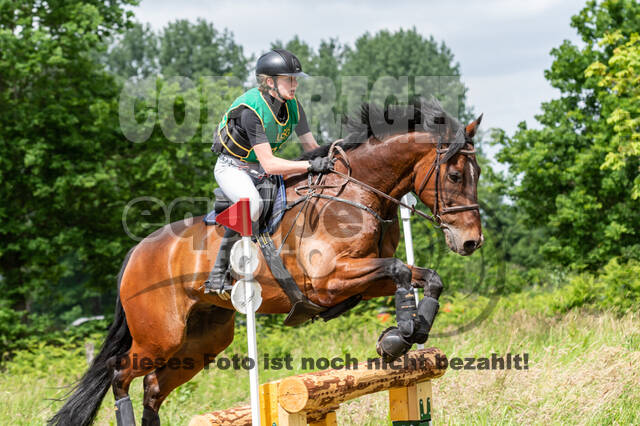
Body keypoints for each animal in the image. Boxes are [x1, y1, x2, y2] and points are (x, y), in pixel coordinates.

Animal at [49, 98, 483, 426]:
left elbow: (427, 277)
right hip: (160, 336)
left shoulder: (361, 277)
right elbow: (399, 271)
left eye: (476, 173)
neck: (355, 193)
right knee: (119, 372)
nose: (471, 242)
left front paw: (409, 332)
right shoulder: (330, 280)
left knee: (153, 388)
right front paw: (398, 336)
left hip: (202, 340)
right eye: (456, 175)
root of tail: (136, 252)